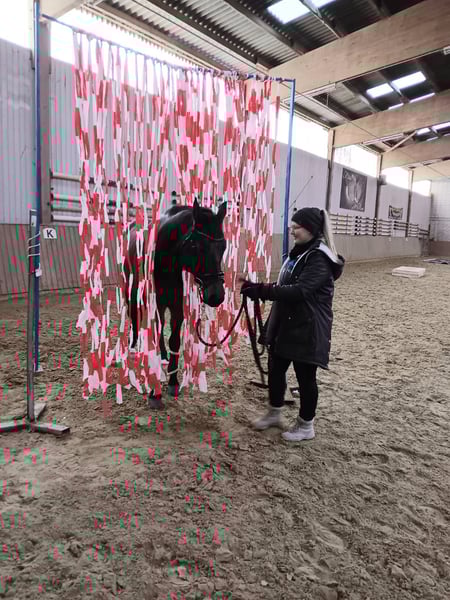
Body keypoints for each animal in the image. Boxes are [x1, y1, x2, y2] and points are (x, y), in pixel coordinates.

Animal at [123, 198, 227, 408]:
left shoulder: (177, 306)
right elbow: (155, 335)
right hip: (131, 290)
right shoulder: (154, 304)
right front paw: (154, 393)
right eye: (196, 246)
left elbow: (173, 340)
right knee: (134, 316)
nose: (216, 296)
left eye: (223, 247)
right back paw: (133, 346)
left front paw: (173, 382)